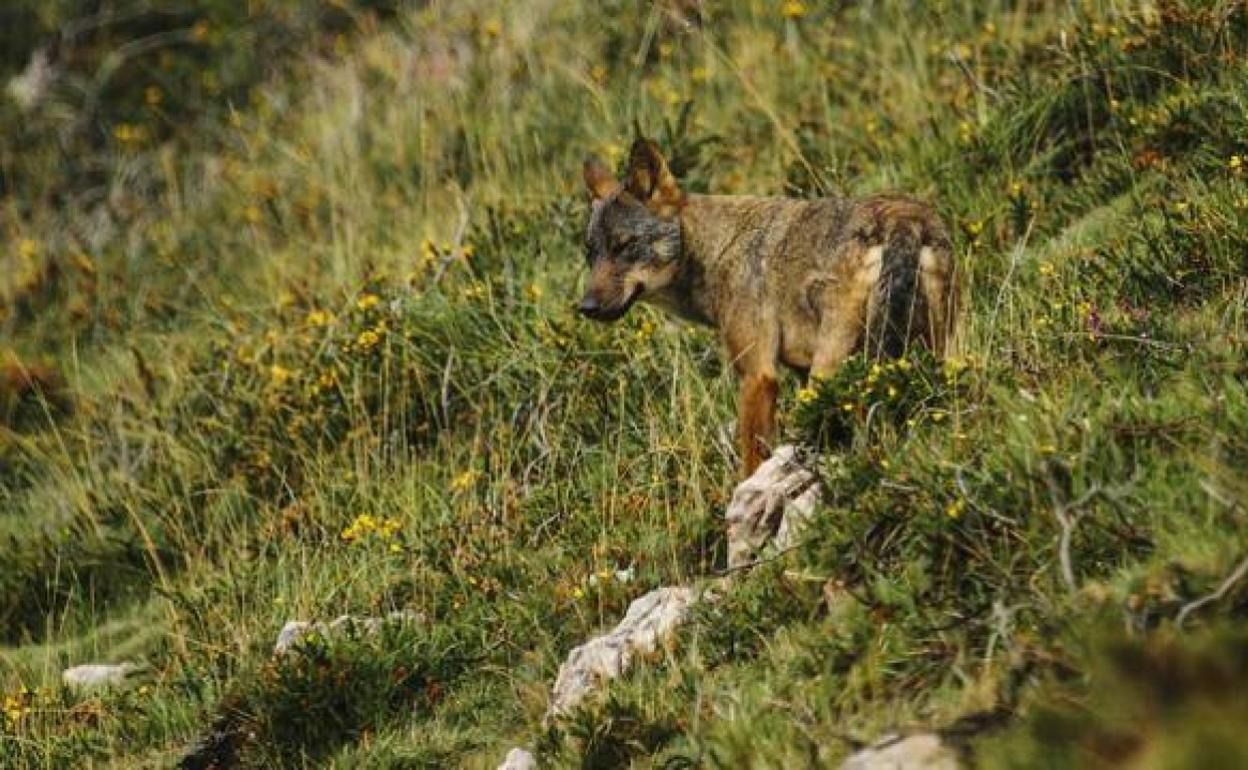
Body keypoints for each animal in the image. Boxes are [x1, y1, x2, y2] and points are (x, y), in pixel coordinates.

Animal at [574, 137, 953, 474]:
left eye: (625, 246)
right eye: (592, 253)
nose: (585, 307)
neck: (718, 250)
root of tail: (903, 219)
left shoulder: (758, 376)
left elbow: (751, 461)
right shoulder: (796, 371)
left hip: (833, 374)